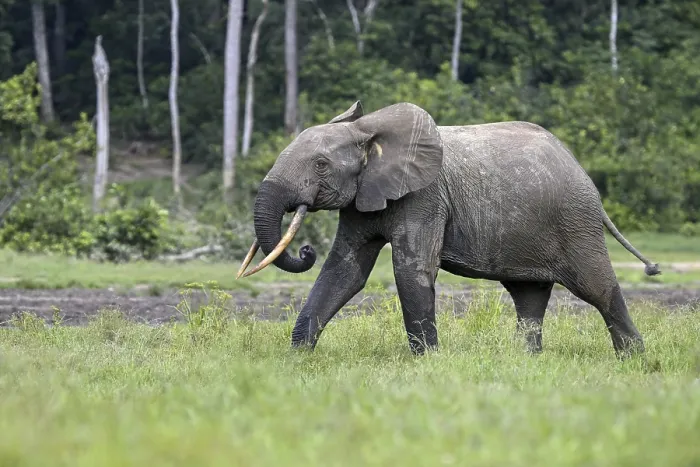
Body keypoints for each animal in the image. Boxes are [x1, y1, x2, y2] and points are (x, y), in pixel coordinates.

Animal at [236, 101, 660, 358]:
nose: (305, 249)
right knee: (529, 296)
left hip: (575, 222)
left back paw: (634, 359)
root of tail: (581, 171)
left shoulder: (424, 196)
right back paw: (528, 360)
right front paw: (296, 358)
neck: (369, 131)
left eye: (321, 164)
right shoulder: (363, 197)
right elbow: (344, 271)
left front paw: (427, 362)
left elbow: (411, 269)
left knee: (596, 286)